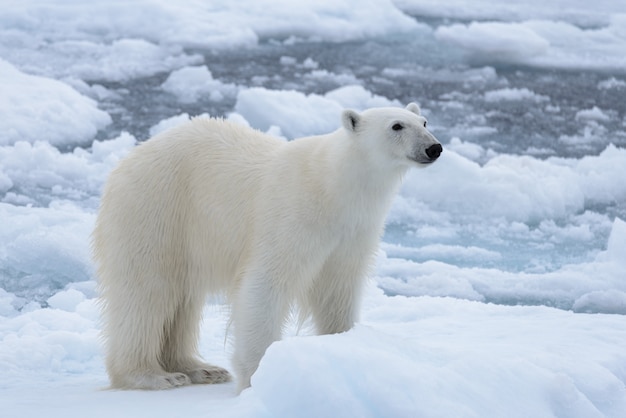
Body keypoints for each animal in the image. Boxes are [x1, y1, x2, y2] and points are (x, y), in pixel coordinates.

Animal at [92, 103, 438, 390]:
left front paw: (341, 345)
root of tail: (128, 159)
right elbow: (266, 285)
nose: (434, 147)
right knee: (146, 292)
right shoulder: (292, 217)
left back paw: (201, 368)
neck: (332, 188)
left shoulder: (352, 233)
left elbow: (337, 290)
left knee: (182, 300)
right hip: (157, 210)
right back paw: (153, 375)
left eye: (424, 121)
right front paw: (257, 374)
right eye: (396, 126)